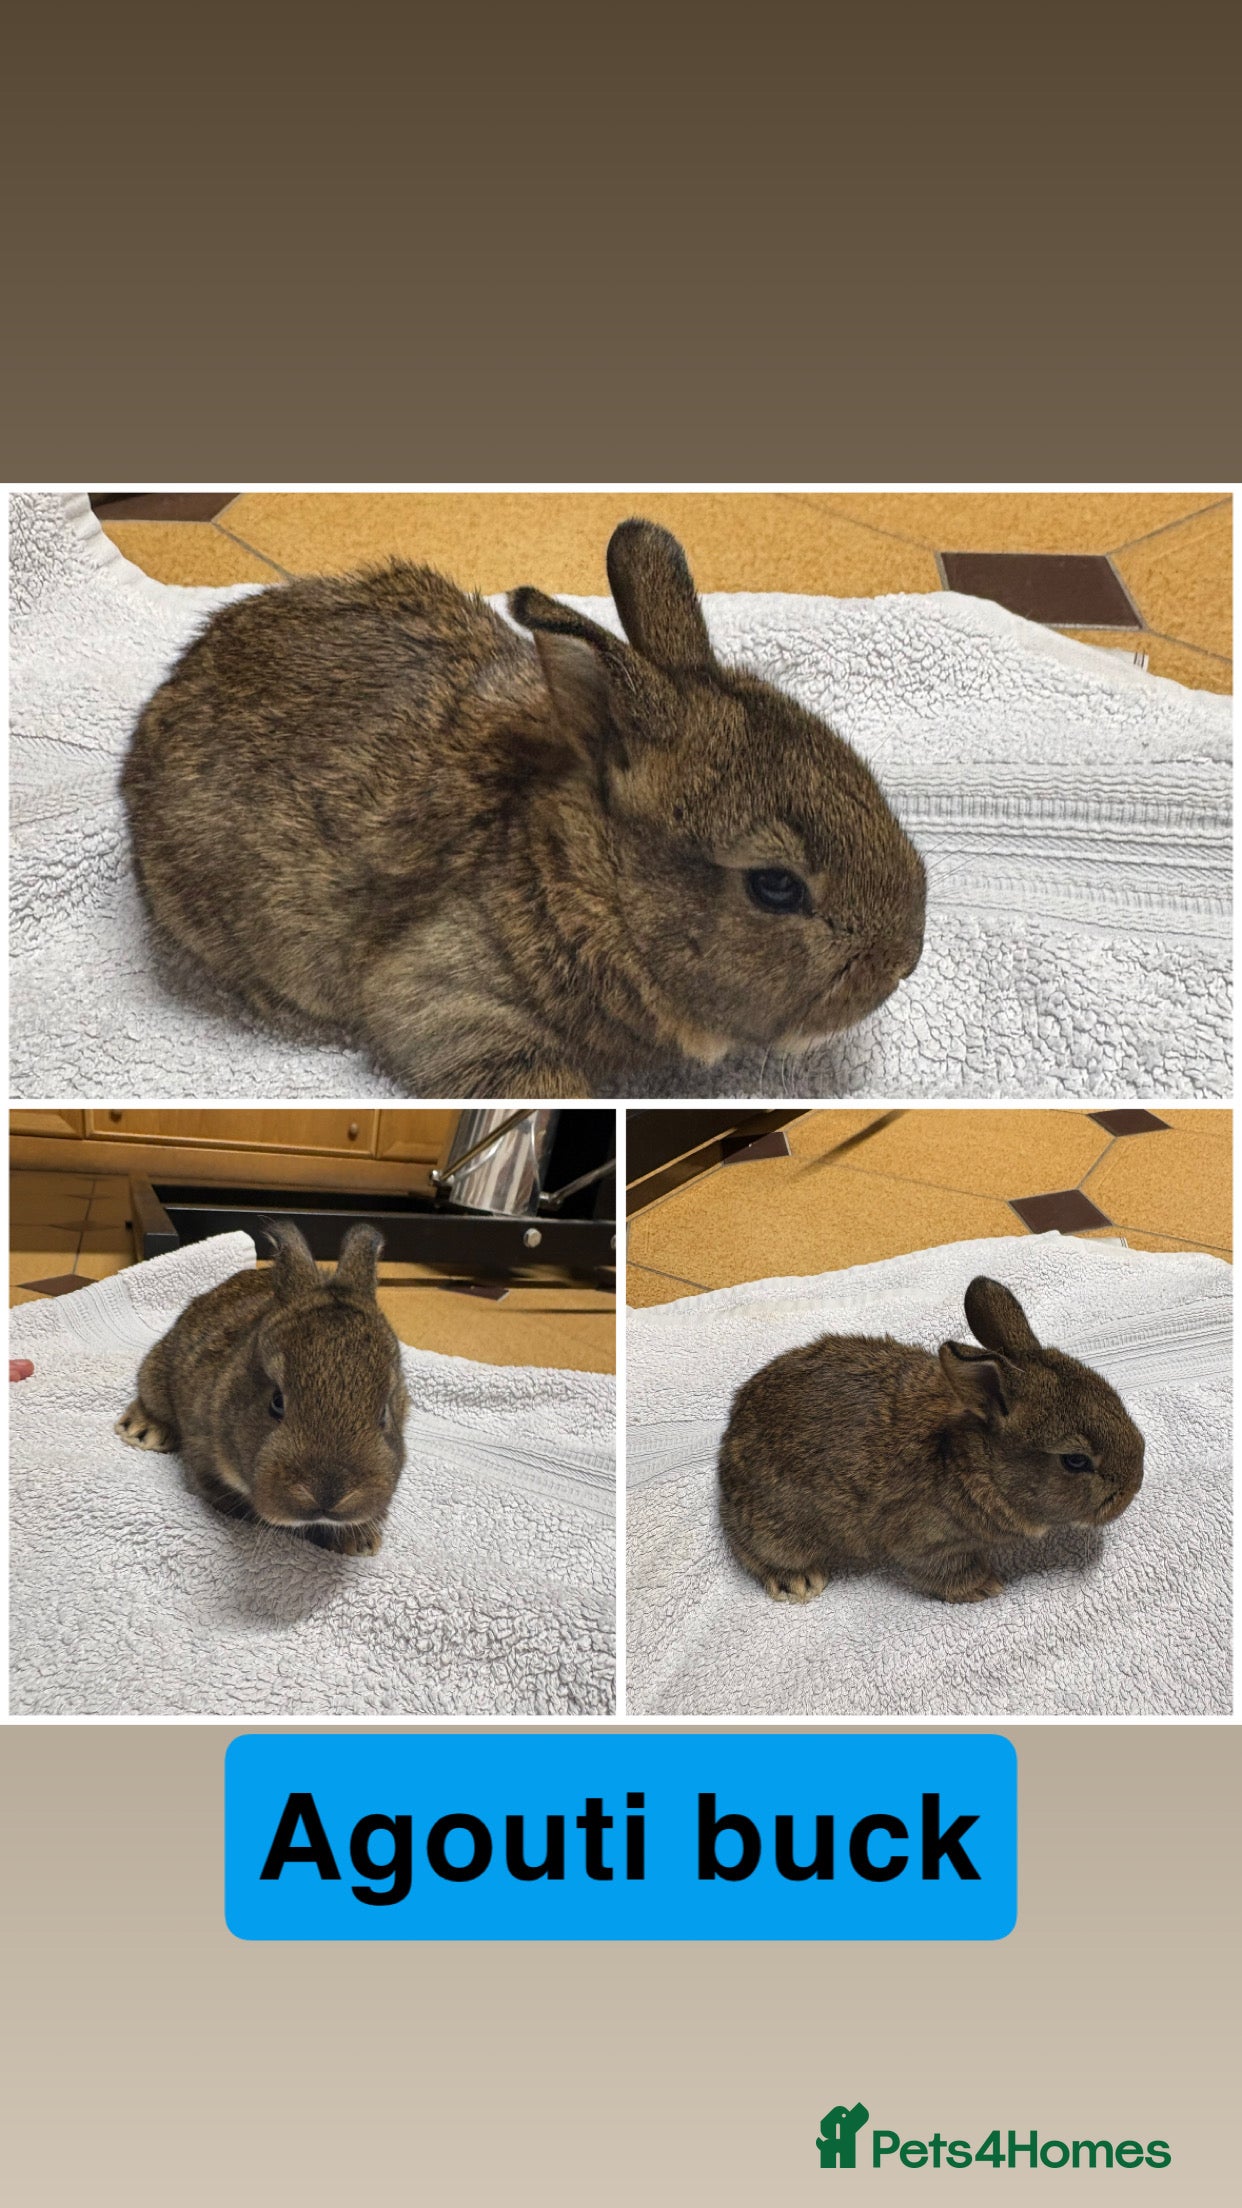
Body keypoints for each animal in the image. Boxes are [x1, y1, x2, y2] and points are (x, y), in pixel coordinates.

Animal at [114, 1221, 408, 1556]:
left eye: (383, 1413)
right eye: (276, 1402)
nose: (328, 1494)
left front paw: (360, 1541)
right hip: (158, 1374)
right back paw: (141, 1430)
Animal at [718, 1276, 1145, 1604]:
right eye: (1075, 1460)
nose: (1132, 1489)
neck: (974, 1458)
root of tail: (729, 1442)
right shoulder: (926, 1541)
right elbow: (942, 1571)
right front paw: (984, 1587)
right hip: (777, 1529)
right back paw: (798, 1581)